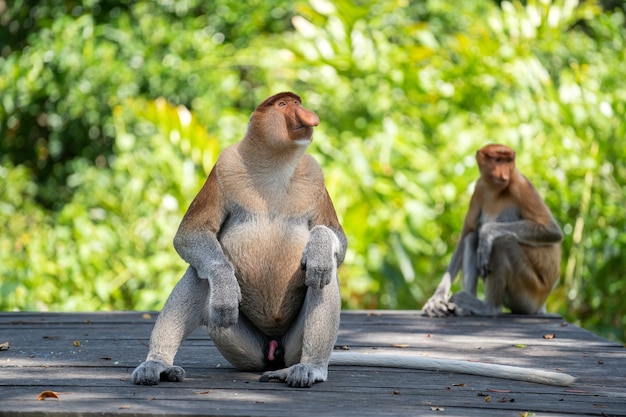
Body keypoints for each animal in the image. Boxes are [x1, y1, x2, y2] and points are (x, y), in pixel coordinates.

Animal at [422, 143, 564, 316]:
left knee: (502, 243)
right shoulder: (480, 188)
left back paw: (488, 308)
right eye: (497, 160)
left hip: (530, 292)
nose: (504, 175)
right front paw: (436, 300)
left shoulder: (521, 186)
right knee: (472, 238)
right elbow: (465, 235)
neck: (496, 191)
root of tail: (541, 303)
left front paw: (487, 232)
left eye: (508, 161)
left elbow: (552, 230)